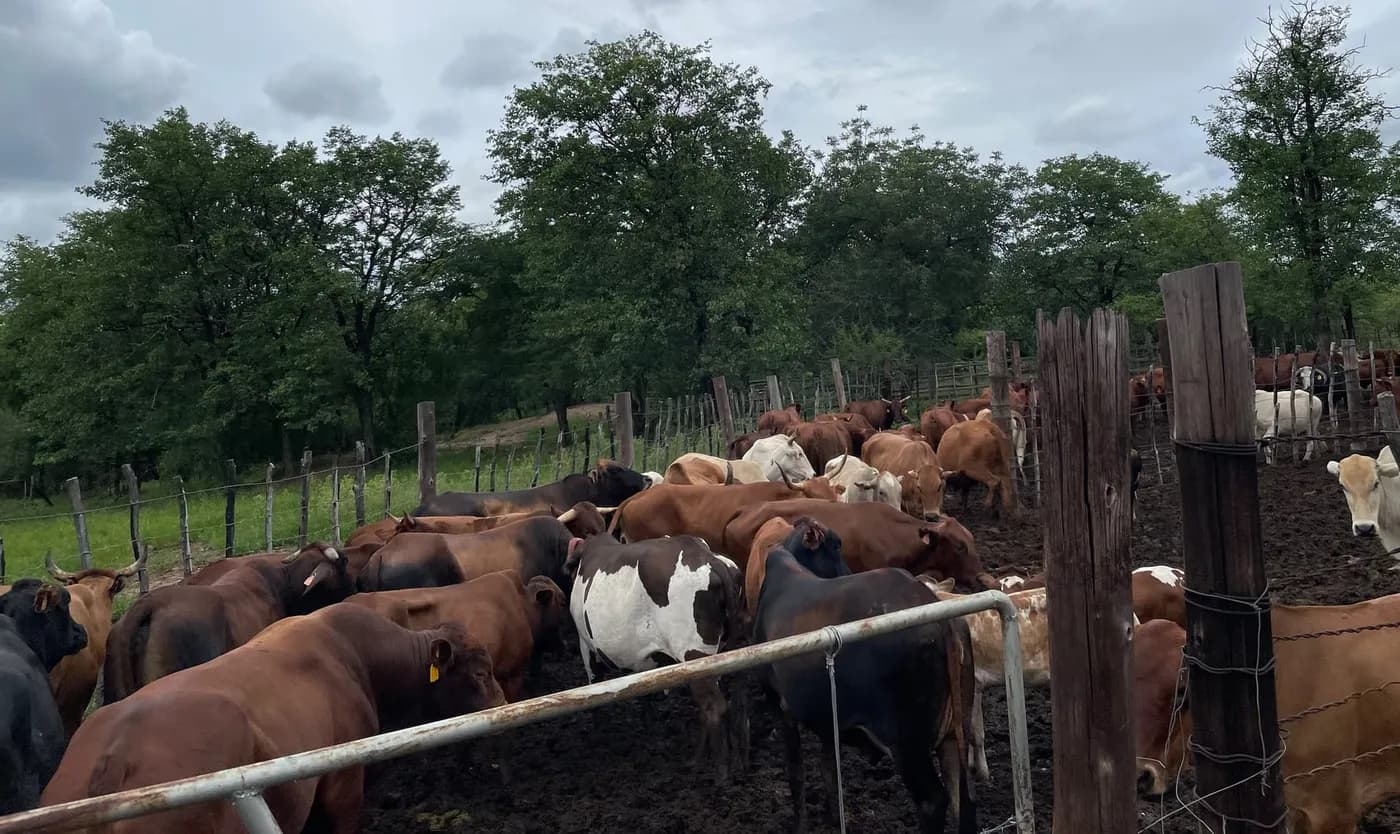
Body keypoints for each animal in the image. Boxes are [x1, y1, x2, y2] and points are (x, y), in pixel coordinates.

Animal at [566, 534, 748, 782]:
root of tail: (712, 560)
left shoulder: (586, 646)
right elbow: (644, 693)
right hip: (719, 654)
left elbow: (594, 689)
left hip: (694, 654)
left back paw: (720, 772)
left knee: (713, 706)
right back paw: (706, 761)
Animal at [755, 524, 977, 833]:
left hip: (907, 743)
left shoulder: (779, 705)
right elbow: (829, 769)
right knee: (964, 800)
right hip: (955, 733)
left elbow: (796, 773)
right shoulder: (827, 718)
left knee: (933, 801)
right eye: (834, 547)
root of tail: (937, 613)